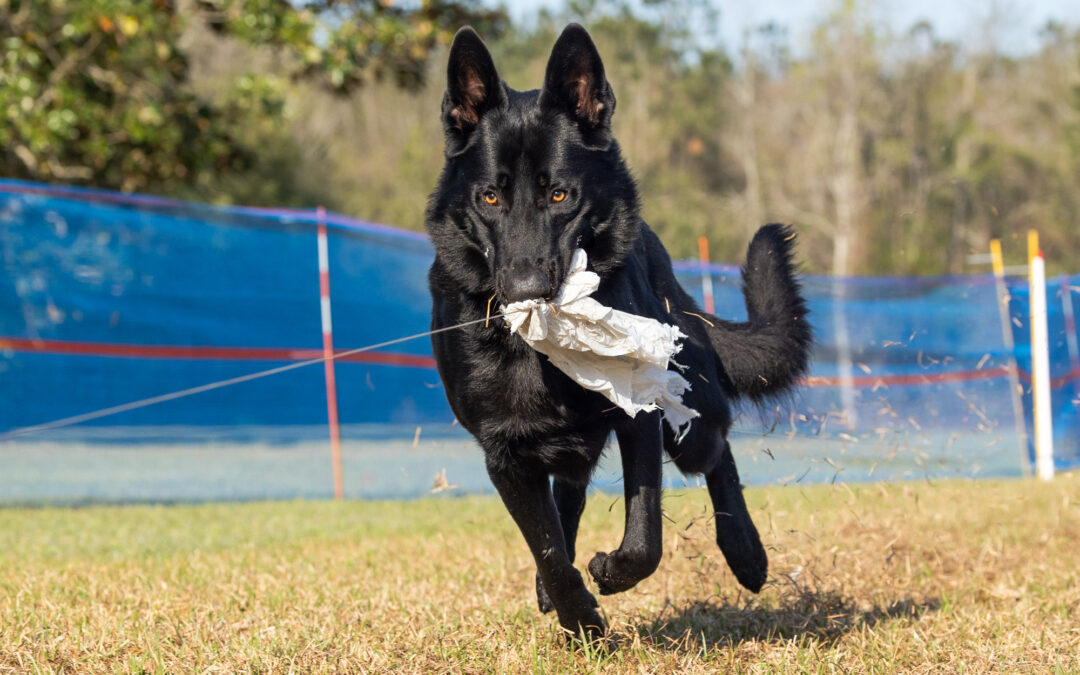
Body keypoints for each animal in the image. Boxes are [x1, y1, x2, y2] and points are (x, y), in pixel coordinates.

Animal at [423, 24, 812, 635]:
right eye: (490, 197)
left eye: (559, 195)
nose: (525, 290)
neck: (542, 354)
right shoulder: (506, 454)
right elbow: (549, 550)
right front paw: (579, 619)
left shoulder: (640, 416)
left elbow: (645, 532)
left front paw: (611, 574)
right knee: (570, 496)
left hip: (690, 412)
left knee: (716, 449)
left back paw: (746, 552)